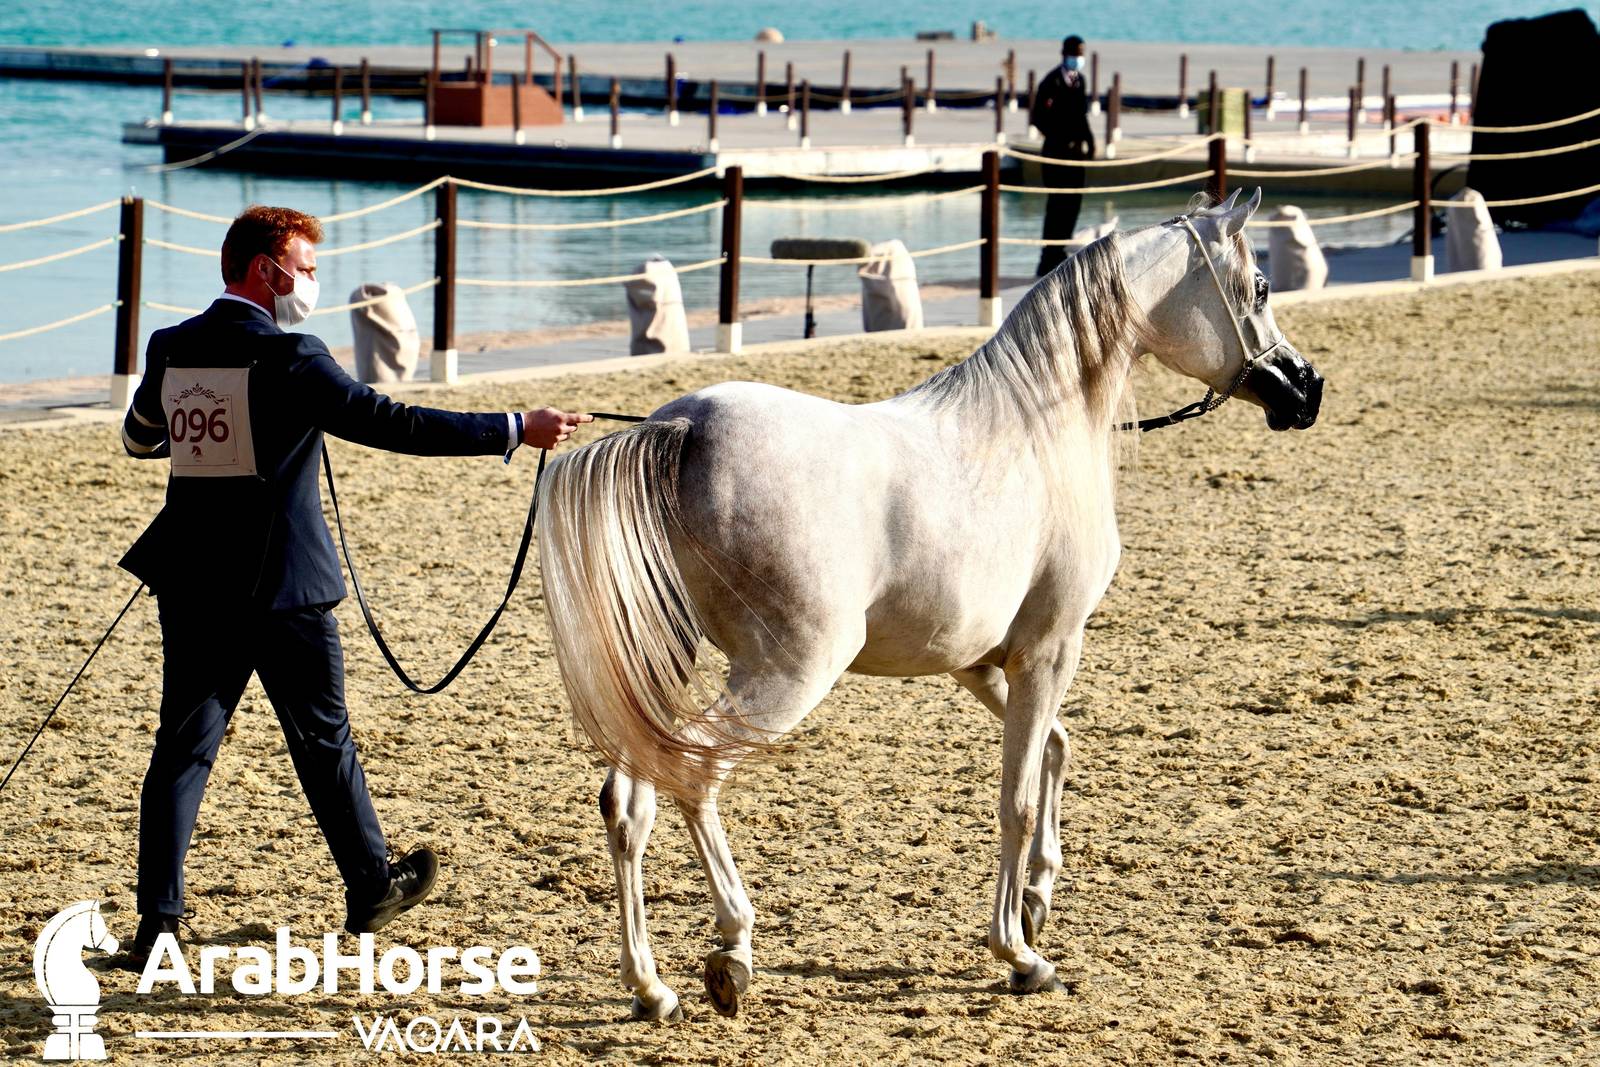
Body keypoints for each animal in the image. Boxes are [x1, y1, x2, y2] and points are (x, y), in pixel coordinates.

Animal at [535, 189, 1323, 1021]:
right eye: (1260, 287)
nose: (1306, 388)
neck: (1038, 429)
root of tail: (680, 426)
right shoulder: (1050, 649)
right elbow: (1015, 796)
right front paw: (1019, 953)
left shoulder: (979, 662)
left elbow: (1054, 747)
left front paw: (1039, 896)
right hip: (790, 670)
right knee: (697, 774)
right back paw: (732, 950)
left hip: (672, 666)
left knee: (631, 797)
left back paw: (652, 984)